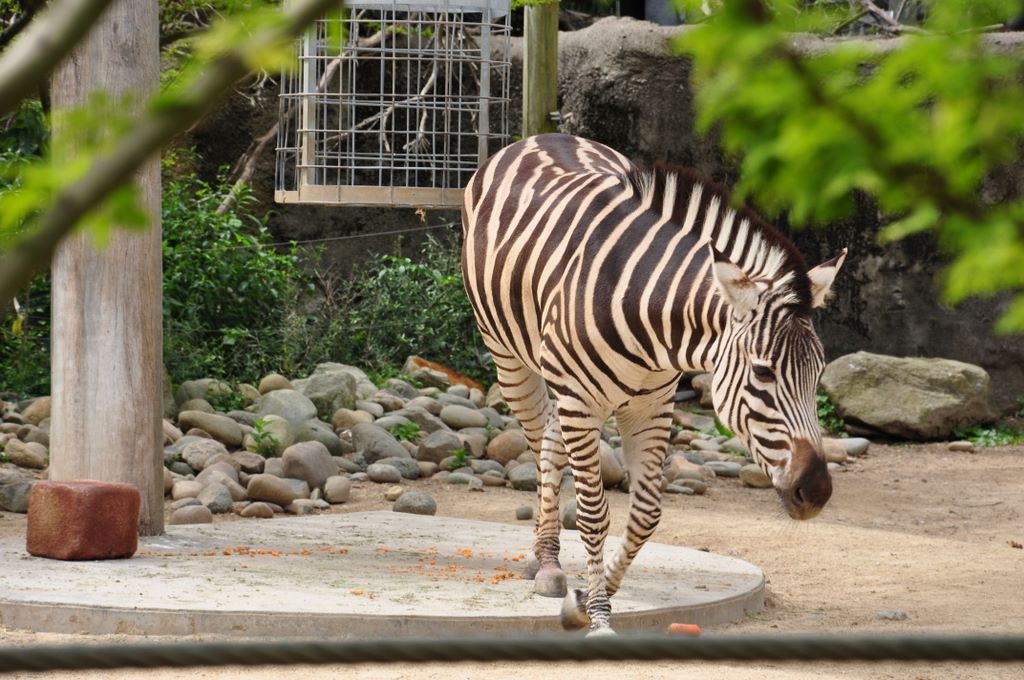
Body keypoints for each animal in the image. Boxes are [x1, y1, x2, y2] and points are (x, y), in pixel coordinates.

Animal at [461, 133, 847, 635]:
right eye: (763, 372)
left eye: (818, 373)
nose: (816, 491)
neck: (651, 314)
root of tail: (545, 136)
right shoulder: (582, 401)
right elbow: (594, 514)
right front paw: (598, 616)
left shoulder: (653, 407)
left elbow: (646, 515)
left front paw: (585, 599)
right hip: (510, 358)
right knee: (540, 442)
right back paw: (545, 562)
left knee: (551, 439)